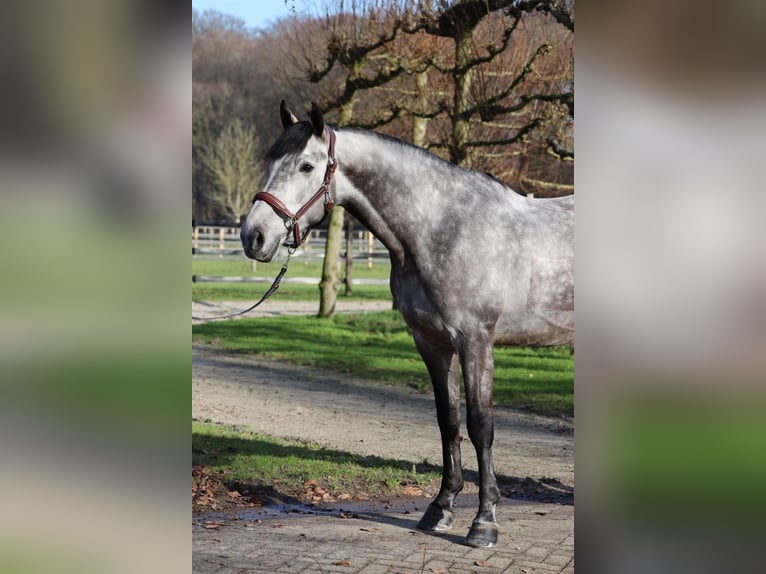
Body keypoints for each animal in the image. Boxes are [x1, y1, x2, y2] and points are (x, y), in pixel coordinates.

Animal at [240, 101, 574, 547]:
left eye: (307, 166)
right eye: (270, 161)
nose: (253, 236)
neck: (442, 229)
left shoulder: (475, 341)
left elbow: (480, 424)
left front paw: (484, 521)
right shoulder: (432, 342)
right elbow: (448, 422)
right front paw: (441, 508)